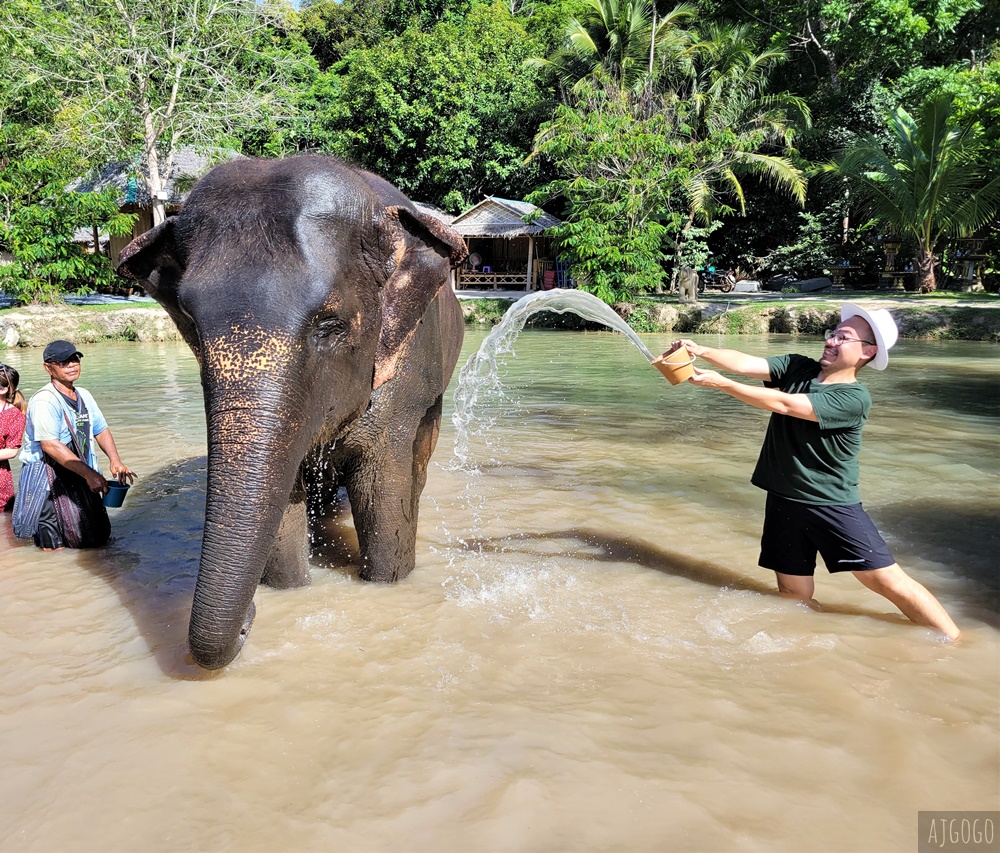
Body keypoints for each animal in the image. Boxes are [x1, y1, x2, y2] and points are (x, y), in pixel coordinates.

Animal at [117, 155, 467, 670]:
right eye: (192, 324)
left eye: (330, 325)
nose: (249, 620)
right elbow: (284, 503)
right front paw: (287, 588)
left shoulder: (403, 375)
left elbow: (383, 494)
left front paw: (390, 579)